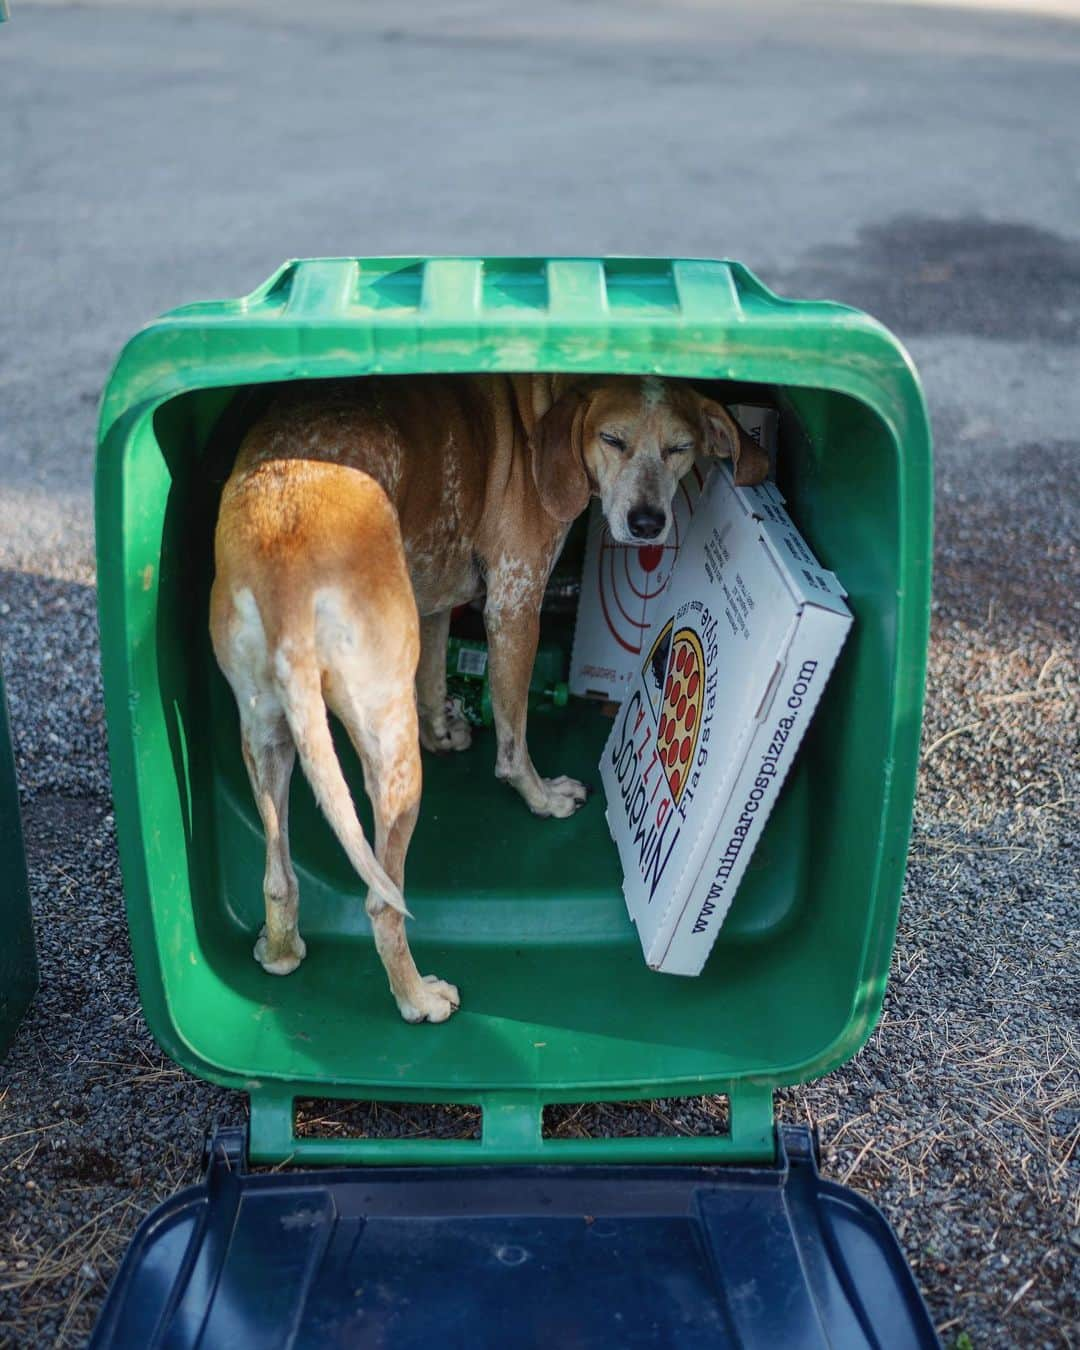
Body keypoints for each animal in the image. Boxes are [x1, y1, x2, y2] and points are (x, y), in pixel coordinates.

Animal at [210, 372, 766, 1020]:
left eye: (681, 448)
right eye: (613, 439)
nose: (649, 523)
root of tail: (289, 576)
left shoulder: (431, 598)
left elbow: (432, 677)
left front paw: (445, 729)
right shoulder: (514, 605)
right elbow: (513, 738)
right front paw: (542, 797)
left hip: (266, 737)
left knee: (278, 875)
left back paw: (280, 951)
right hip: (392, 758)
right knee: (381, 901)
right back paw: (417, 997)